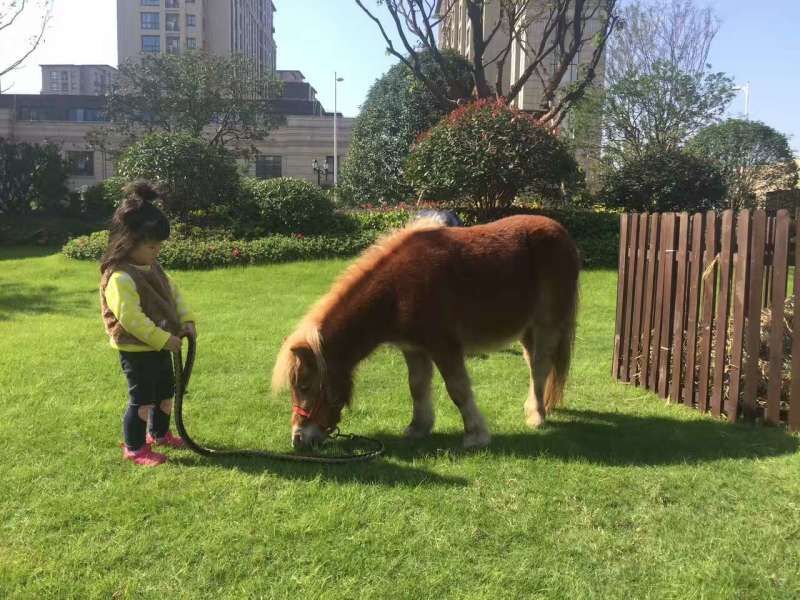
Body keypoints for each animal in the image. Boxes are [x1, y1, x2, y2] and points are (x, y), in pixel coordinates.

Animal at [272, 216, 580, 450]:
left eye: (304, 385)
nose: (298, 439)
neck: (397, 291)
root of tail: (561, 232)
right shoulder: (414, 348)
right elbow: (417, 387)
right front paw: (418, 427)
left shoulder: (444, 346)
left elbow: (457, 389)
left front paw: (475, 435)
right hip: (526, 329)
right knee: (533, 364)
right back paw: (534, 407)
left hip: (547, 323)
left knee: (540, 366)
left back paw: (537, 416)